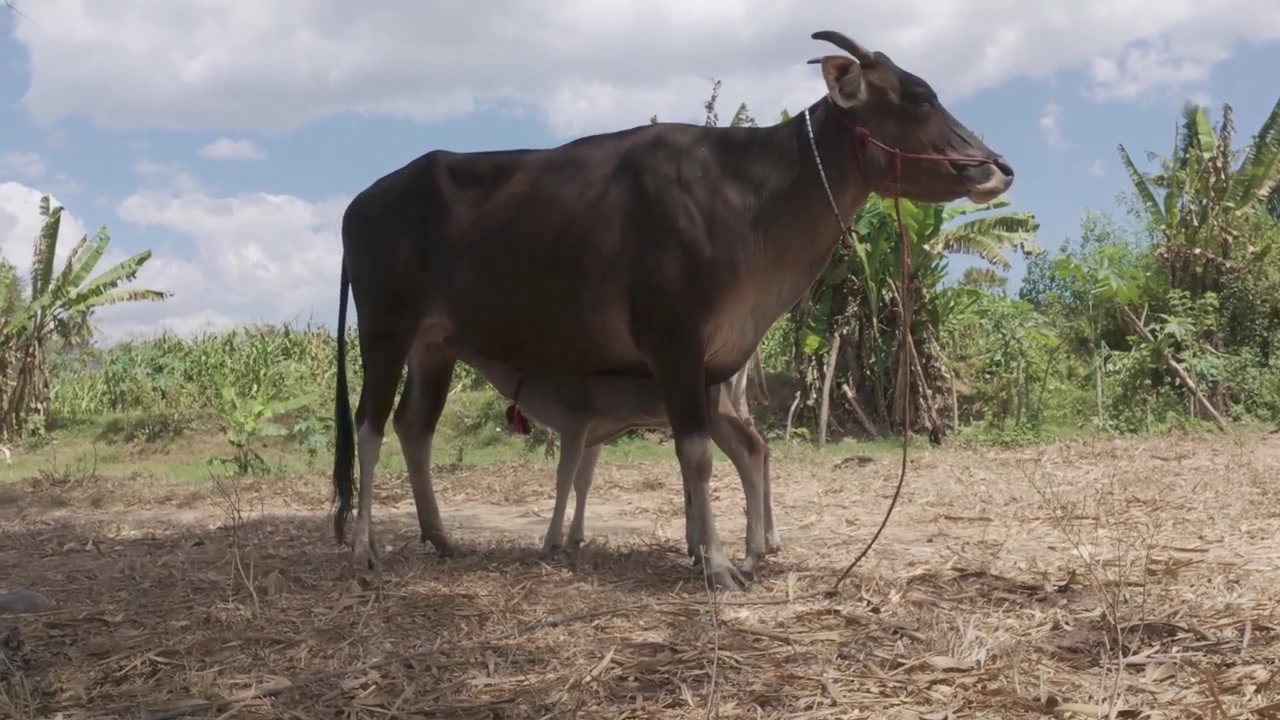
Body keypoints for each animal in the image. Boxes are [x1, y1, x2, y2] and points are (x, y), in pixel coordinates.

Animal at [466, 357, 780, 579]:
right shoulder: (594, 433)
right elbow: (584, 481)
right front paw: (575, 539)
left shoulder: (575, 422)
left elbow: (564, 479)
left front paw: (552, 543)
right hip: (734, 403)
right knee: (760, 447)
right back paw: (763, 544)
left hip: (715, 407)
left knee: (748, 451)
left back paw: (750, 556)